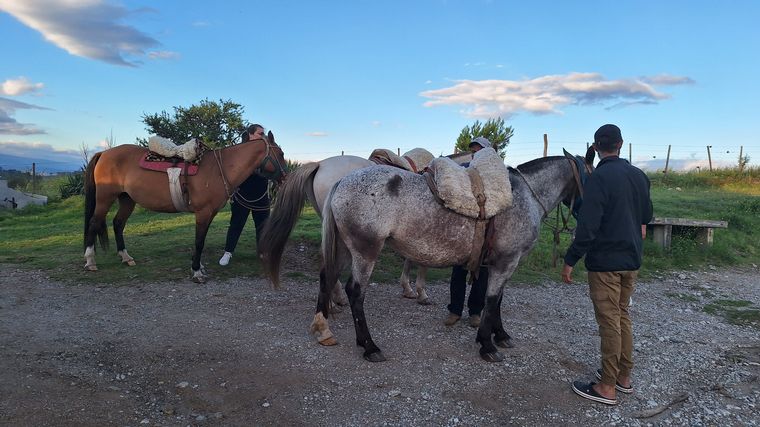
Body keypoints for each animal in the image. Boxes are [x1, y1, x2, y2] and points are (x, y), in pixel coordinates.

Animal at [83, 132, 287, 283]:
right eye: (281, 154)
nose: (286, 178)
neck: (219, 168)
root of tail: (104, 153)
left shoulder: (209, 213)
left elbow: (201, 241)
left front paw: (199, 266)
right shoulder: (203, 213)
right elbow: (199, 242)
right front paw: (196, 271)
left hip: (127, 199)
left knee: (118, 224)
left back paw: (126, 258)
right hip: (105, 198)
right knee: (94, 223)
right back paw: (91, 261)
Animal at [258, 148, 441, 305]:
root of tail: (320, 164)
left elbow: (412, 259)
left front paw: (408, 289)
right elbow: (421, 261)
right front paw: (421, 293)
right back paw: (336, 299)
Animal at [310, 147, 595, 362]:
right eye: (593, 173)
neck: (523, 197)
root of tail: (341, 181)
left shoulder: (501, 264)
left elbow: (498, 300)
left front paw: (501, 335)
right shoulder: (506, 262)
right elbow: (493, 300)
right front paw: (487, 344)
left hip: (345, 249)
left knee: (327, 277)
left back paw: (323, 330)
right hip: (365, 251)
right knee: (355, 292)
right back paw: (369, 346)